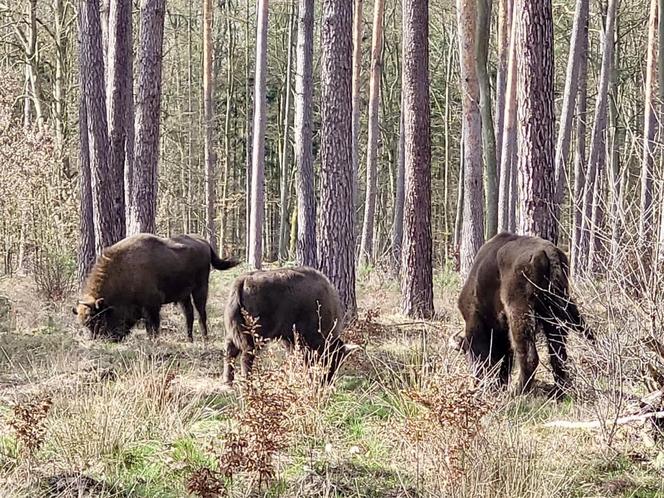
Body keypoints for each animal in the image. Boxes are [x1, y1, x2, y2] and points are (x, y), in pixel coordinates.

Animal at [73, 233, 239, 342]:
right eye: (83, 324)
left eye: (96, 320)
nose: (101, 340)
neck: (124, 270)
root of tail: (205, 243)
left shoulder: (152, 304)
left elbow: (153, 325)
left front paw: (153, 340)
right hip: (183, 295)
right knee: (189, 314)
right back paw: (189, 338)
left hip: (200, 288)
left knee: (201, 313)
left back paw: (204, 338)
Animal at [222, 266, 358, 384]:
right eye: (332, 358)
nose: (328, 381)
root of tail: (243, 280)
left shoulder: (289, 338)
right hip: (256, 335)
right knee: (246, 356)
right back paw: (248, 382)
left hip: (234, 332)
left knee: (230, 351)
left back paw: (228, 382)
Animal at [456, 232, 592, 396]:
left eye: (469, 352)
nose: (476, 382)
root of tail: (549, 253)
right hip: (557, 308)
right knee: (559, 351)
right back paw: (559, 391)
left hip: (519, 311)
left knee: (529, 356)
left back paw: (518, 392)